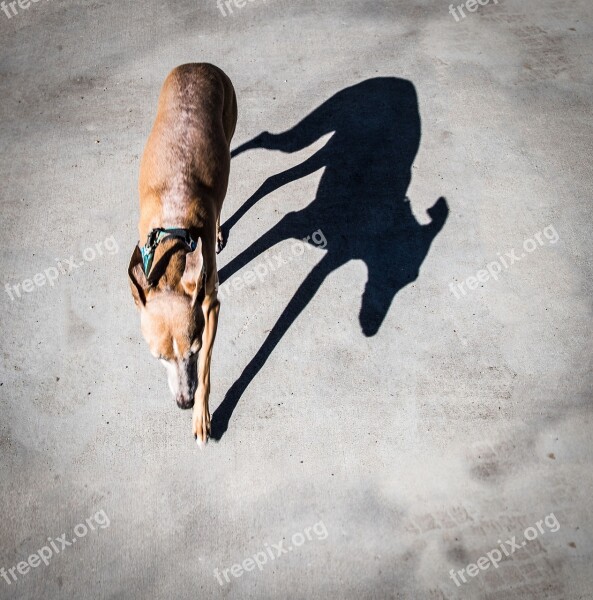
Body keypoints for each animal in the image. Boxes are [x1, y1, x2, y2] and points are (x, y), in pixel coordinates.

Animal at [127, 64, 236, 446]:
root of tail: (199, 64)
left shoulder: (212, 307)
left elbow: (204, 370)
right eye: (158, 357)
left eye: (193, 349)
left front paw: (202, 416)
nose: (184, 403)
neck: (174, 232)